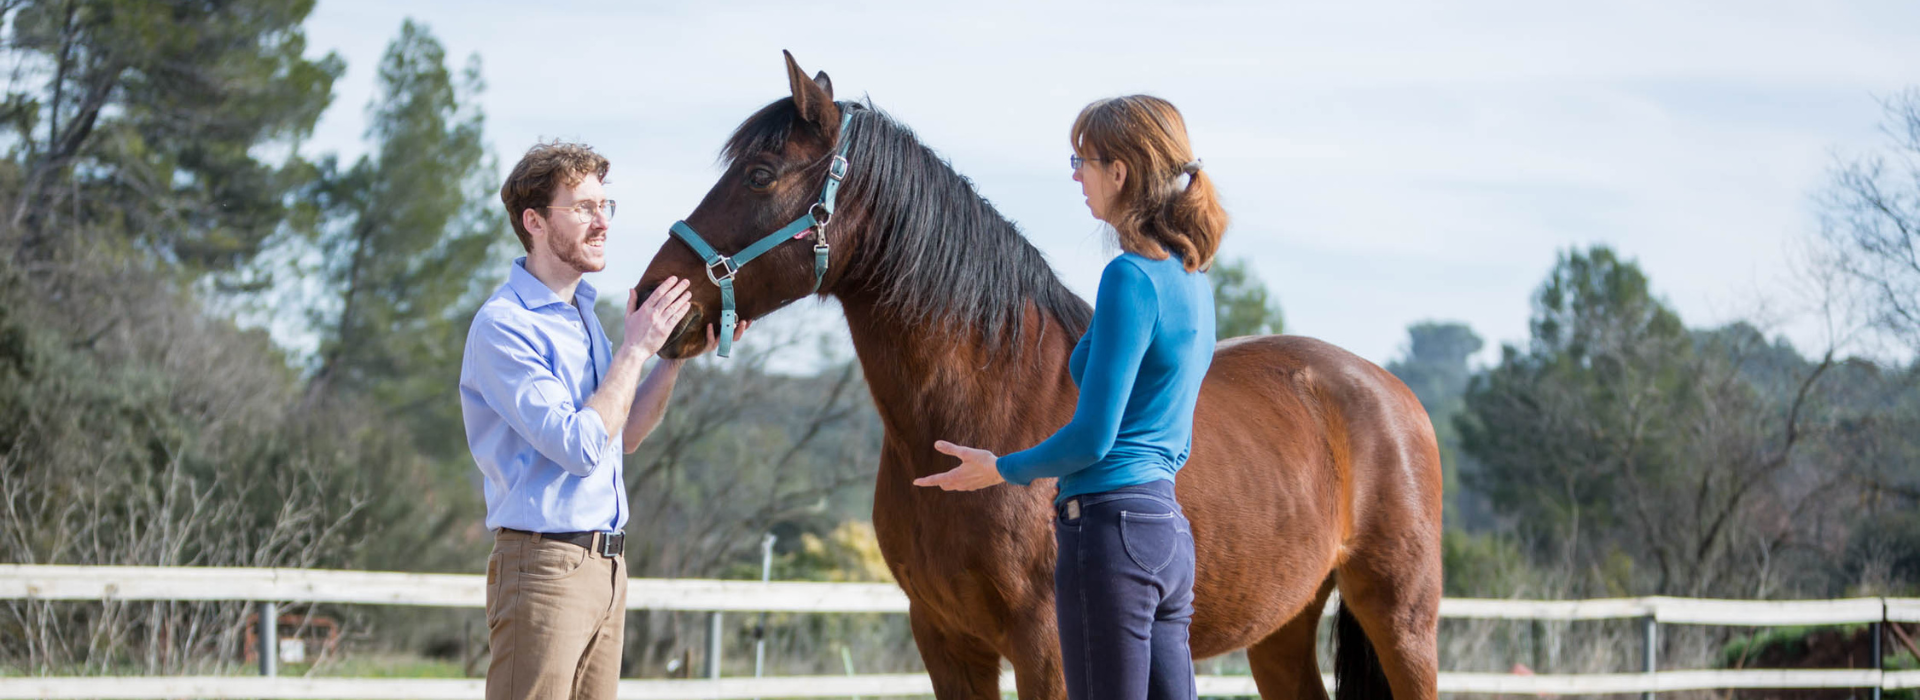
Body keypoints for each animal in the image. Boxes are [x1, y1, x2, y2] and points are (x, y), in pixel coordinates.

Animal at [637, 51, 1436, 694]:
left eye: (760, 174)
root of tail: (1389, 391)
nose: (652, 296)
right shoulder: (945, 641)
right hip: (1280, 628)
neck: (988, 399)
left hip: (1402, 621)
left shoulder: (1046, 646)